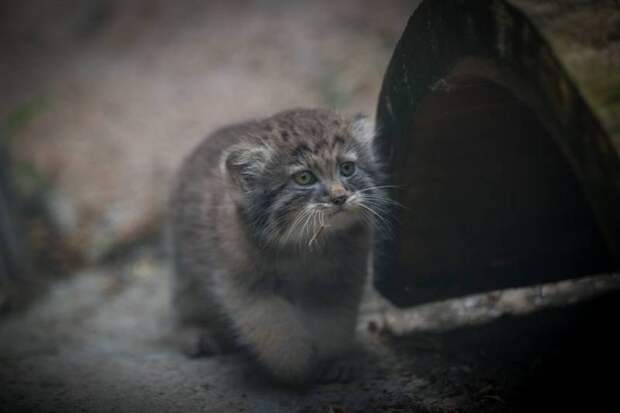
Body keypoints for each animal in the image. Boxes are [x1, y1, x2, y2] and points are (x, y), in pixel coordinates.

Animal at [170, 108, 388, 384]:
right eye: (304, 178)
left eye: (347, 168)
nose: (340, 197)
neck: (305, 247)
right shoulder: (244, 284)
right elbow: (274, 326)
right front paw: (295, 367)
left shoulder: (341, 280)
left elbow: (334, 323)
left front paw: (335, 359)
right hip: (188, 274)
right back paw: (195, 333)